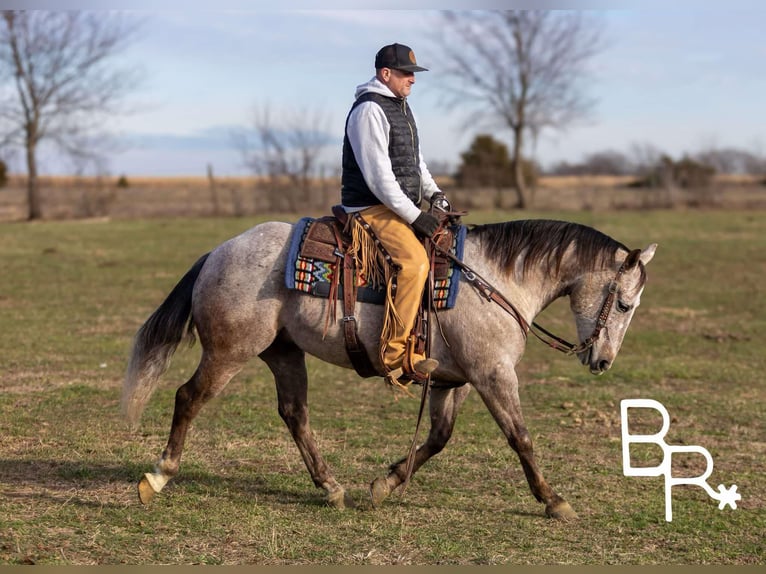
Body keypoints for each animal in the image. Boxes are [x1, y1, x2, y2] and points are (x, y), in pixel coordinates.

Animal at [123, 217, 656, 520]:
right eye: (625, 304)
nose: (602, 361)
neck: (496, 280)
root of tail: (218, 253)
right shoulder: (493, 374)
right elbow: (520, 437)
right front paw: (553, 501)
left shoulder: (455, 380)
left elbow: (439, 437)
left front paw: (386, 483)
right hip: (229, 351)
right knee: (189, 397)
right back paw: (159, 476)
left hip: (283, 353)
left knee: (295, 414)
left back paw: (331, 488)